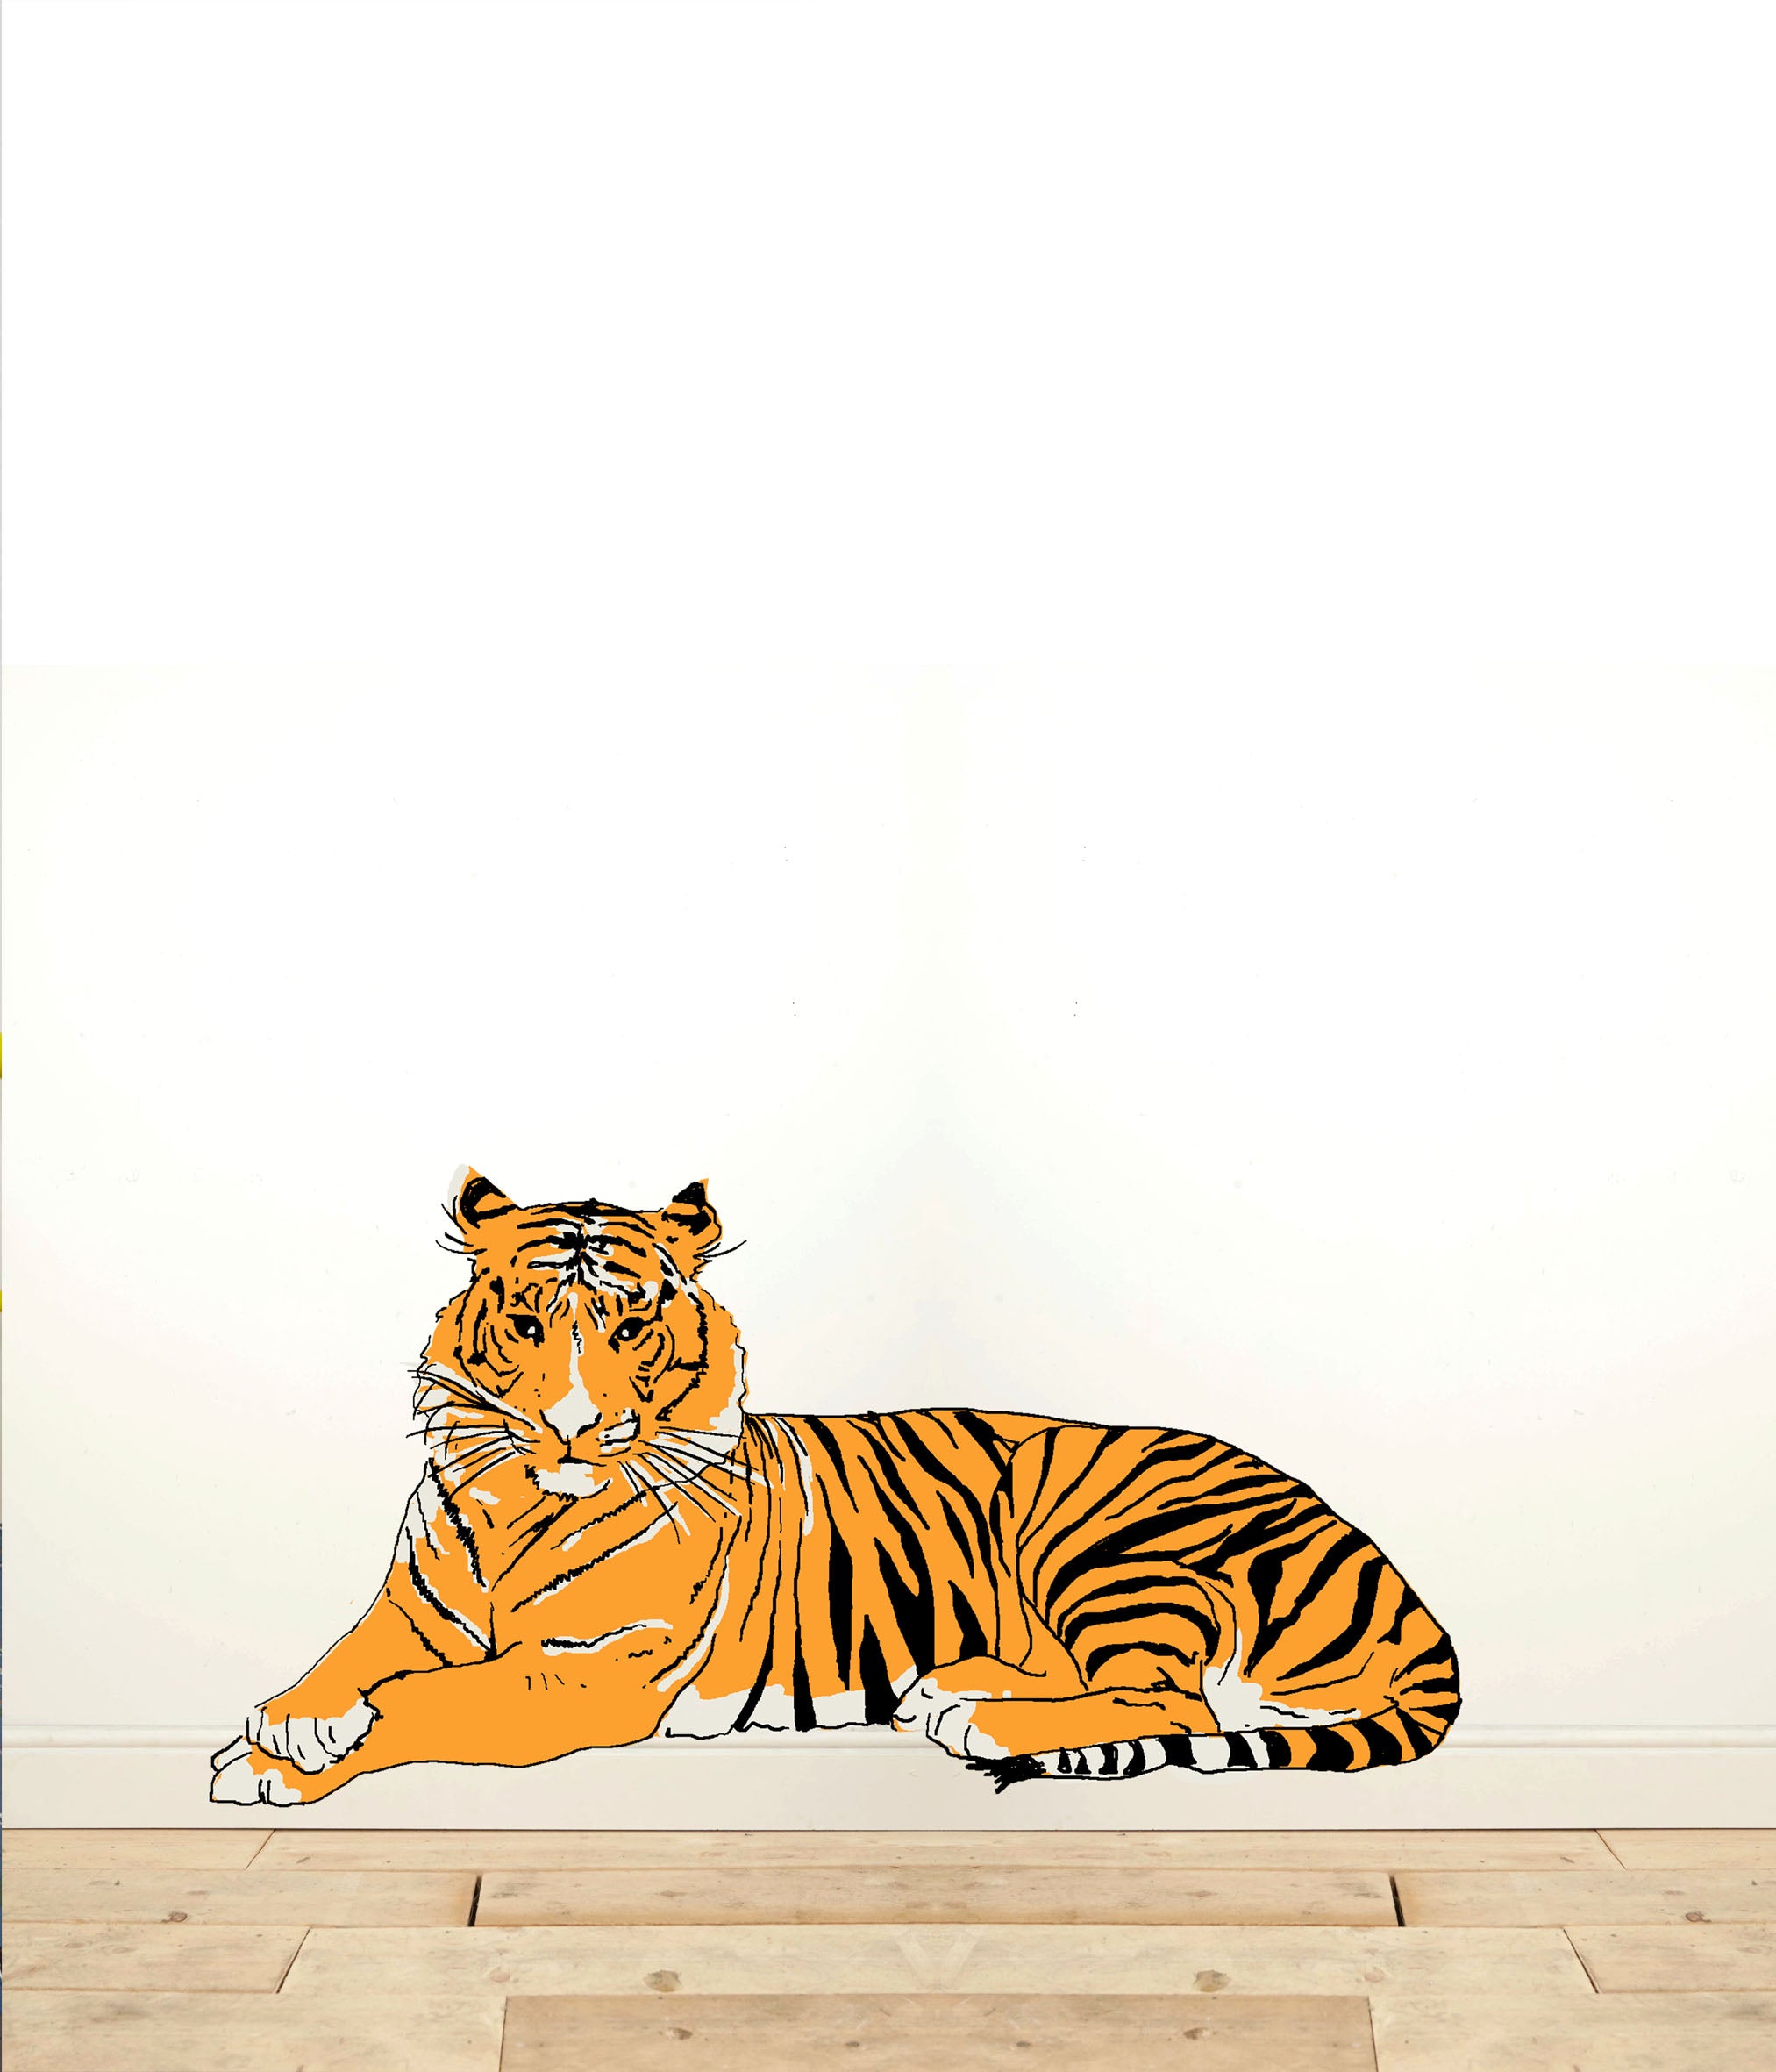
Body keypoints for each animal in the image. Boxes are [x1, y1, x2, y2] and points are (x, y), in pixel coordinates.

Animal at [211, 1171, 1460, 1804]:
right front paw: (287, 1720)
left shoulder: (592, 1671)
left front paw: (276, 1760)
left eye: (630, 1326)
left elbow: (425, 1701)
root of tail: (1393, 1578)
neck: (520, 1501)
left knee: (1174, 1701)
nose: (573, 1427)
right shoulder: (409, 1611)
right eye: (527, 1323)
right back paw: (955, 1691)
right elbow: (348, 1661)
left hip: (1105, 1542)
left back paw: (973, 1714)